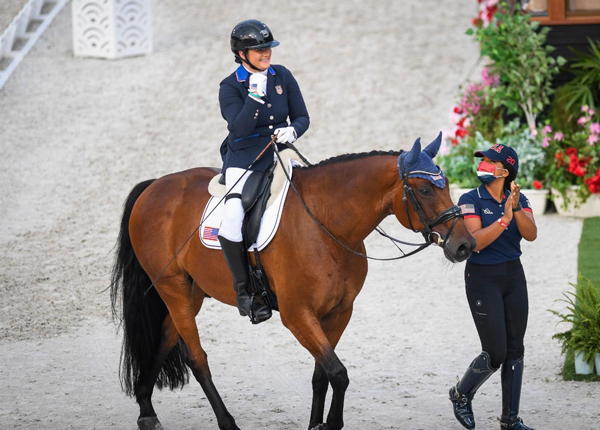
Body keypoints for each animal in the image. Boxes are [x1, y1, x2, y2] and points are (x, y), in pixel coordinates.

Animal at [108, 134, 474, 430]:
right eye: (424, 189)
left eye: (445, 186)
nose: (465, 245)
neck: (326, 224)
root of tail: (155, 185)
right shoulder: (297, 315)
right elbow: (338, 374)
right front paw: (330, 424)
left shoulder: (339, 313)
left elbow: (322, 375)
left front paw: (316, 424)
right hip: (172, 288)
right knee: (196, 358)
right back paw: (226, 422)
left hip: (190, 291)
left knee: (165, 339)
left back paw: (146, 410)